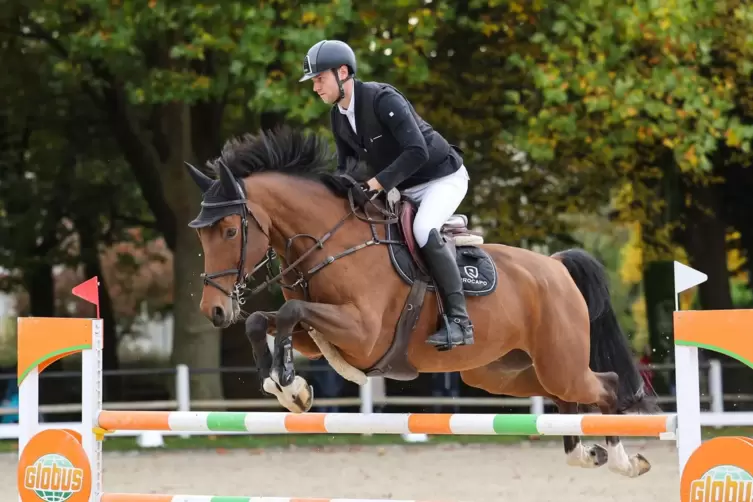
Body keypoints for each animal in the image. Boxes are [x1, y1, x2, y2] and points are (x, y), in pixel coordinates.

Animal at [187, 125, 656, 478]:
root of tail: (556, 267)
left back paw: (623, 460)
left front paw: (289, 384)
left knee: (606, 386)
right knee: (564, 400)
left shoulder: (362, 334)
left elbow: (288, 311)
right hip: (502, 372)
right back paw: (587, 453)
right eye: (201, 236)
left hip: (559, 363)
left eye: (230, 231)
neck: (330, 241)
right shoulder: (315, 337)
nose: (215, 311)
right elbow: (266, 320)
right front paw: (286, 387)